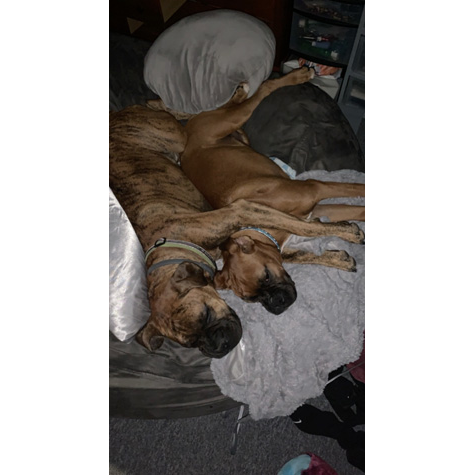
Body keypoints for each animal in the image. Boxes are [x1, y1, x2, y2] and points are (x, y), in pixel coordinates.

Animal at [109, 105, 366, 356]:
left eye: (205, 314)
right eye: (192, 344)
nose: (217, 346)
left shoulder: (283, 198)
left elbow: (311, 223)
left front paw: (348, 233)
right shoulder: (313, 211)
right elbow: (304, 248)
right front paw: (340, 252)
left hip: (185, 132)